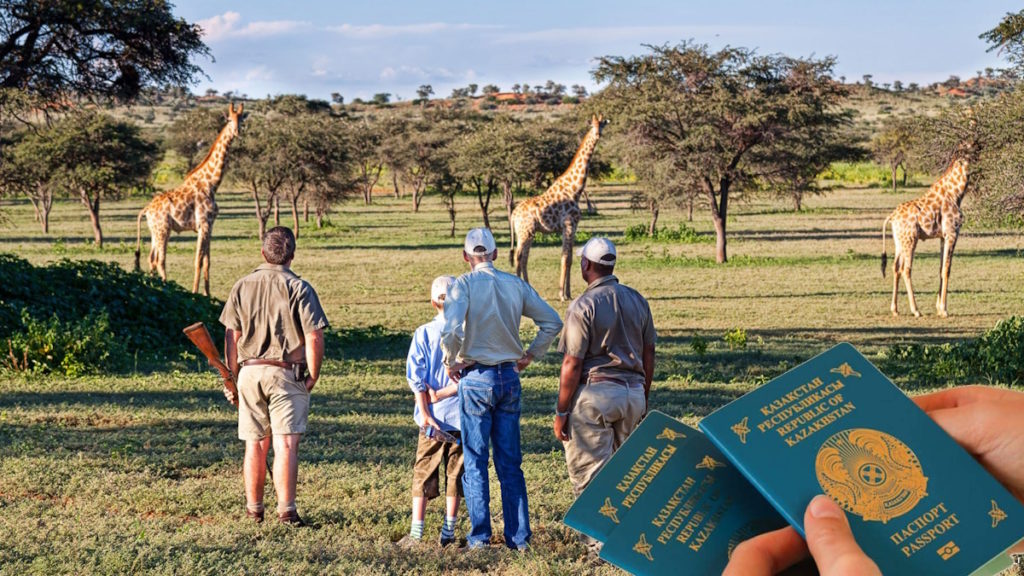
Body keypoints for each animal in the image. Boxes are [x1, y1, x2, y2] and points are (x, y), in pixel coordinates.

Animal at [134, 101, 243, 295]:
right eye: (229, 119)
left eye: (242, 119)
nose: (237, 131)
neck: (212, 183)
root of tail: (146, 209)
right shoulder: (203, 224)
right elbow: (198, 260)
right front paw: (195, 292)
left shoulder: (210, 226)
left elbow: (207, 261)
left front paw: (207, 294)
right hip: (163, 229)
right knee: (160, 260)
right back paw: (166, 288)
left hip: (155, 230)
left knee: (151, 259)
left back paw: (153, 286)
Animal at [507, 113, 602, 301]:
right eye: (592, 125)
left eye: (602, 125)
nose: (598, 134)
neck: (574, 189)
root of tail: (513, 214)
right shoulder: (568, 225)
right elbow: (565, 257)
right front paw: (562, 295)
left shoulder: (573, 226)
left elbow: (571, 258)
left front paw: (569, 293)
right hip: (525, 231)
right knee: (519, 256)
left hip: (527, 232)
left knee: (523, 258)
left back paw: (529, 288)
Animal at [884, 144, 970, 313]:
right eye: (971, 148)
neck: (956, 194)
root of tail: (892, 216)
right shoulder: (952, 233)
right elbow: (947, 269)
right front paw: (944, 310)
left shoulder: (943, 236)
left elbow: (941, 268)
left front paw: (938, 307)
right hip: (910, 239)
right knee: (906, 269)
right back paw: (915, 310)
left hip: (899, 241)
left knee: (895, 267)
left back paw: (894, 309)